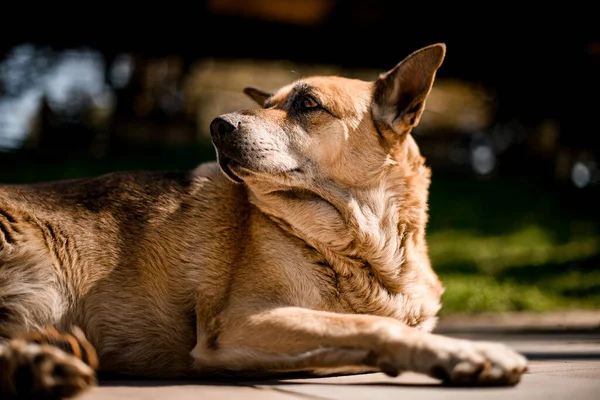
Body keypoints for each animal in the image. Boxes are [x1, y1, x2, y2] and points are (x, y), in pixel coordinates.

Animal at [0, 43, 524, 396]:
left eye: (307, 104)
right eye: (267, 104)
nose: (218, 125)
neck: (365, 248)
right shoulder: (241, 324)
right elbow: (373, 326)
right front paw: (472, 352)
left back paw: (43, 361)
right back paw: (42, 365)